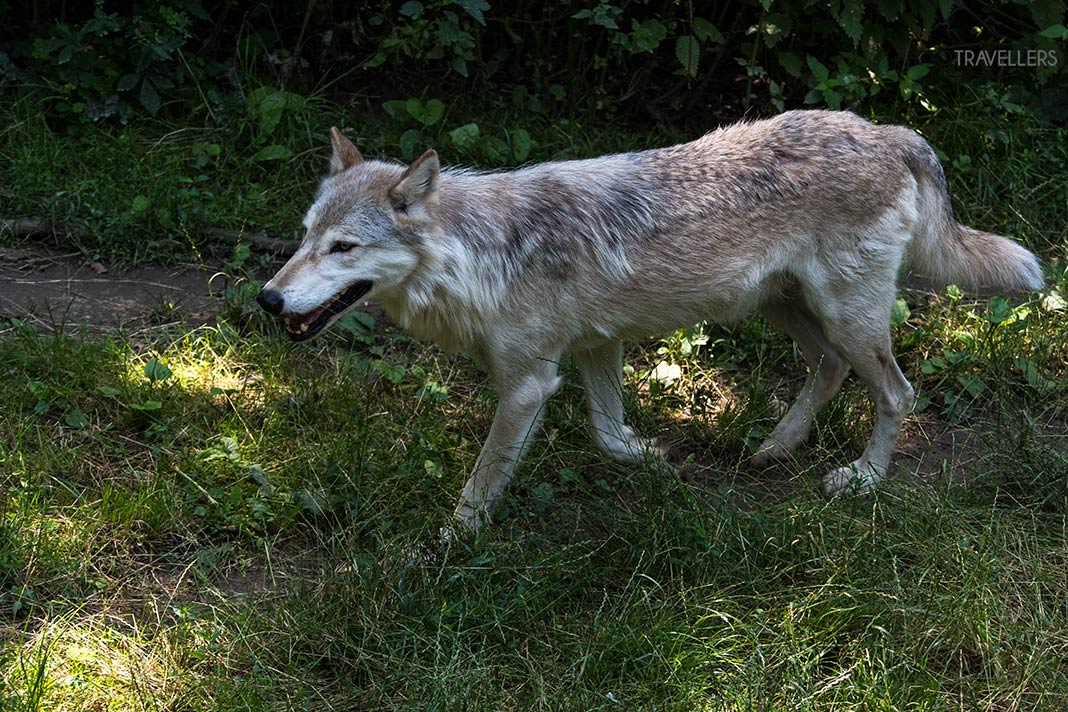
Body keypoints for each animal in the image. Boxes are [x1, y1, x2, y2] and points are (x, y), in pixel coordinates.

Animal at [258, 111, 1042, 531]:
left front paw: (452, 545)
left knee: (897, 393)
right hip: (787, 309)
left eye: (343, 248)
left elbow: (481, 485)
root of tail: (888, 130)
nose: (267, 299)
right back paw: (775, 447)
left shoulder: (529, 384)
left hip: (847, 316)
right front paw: (657, 459)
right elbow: (609, 436)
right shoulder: (593, 350)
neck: (479, 254)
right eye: (302, 238)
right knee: (830, 367)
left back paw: (863, 479)